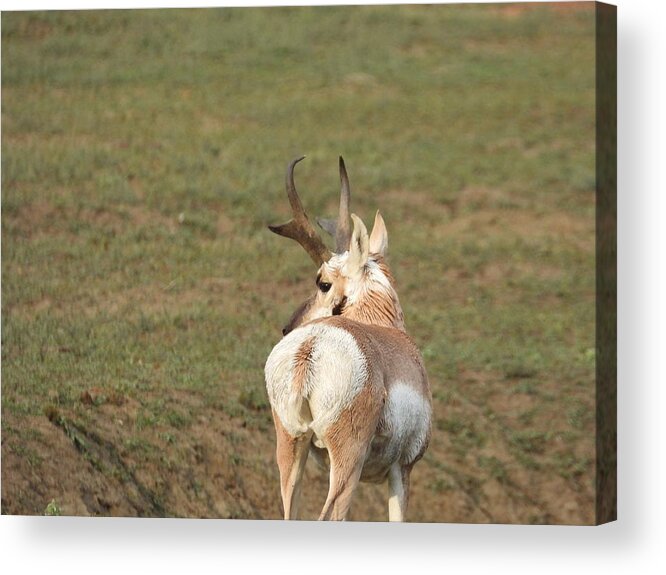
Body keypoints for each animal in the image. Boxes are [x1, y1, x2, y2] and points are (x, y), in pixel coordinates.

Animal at [264, 156, 430, 520]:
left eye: (322, 283)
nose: (287, 326)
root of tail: (311, 347)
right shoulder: (403, 469)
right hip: (347, 462)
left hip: (292, 448)